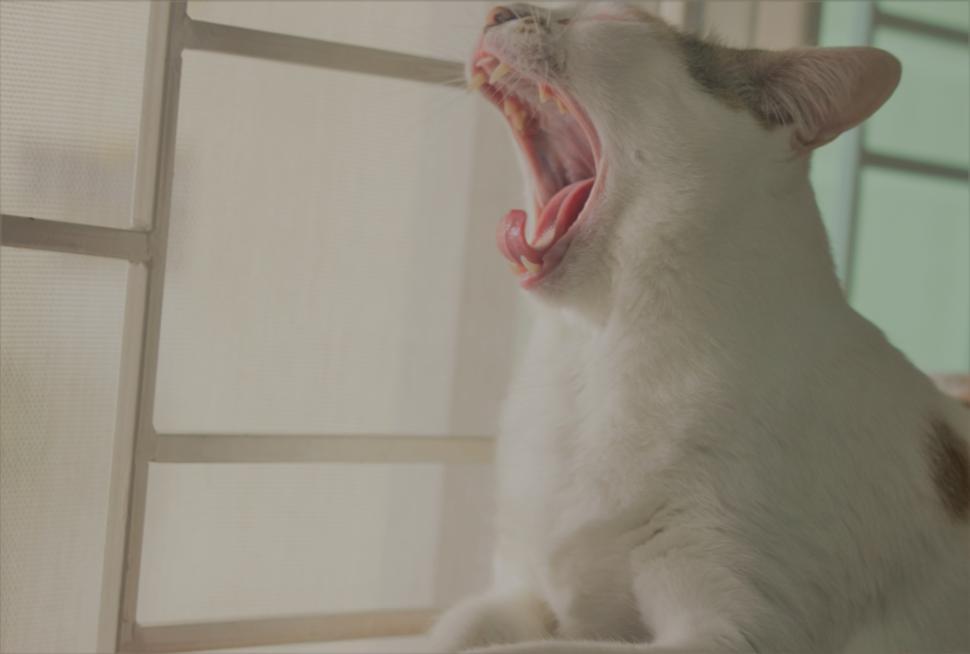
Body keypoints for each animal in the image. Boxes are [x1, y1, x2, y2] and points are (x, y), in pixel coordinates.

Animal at [432, 3, 968, 654]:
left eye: (608, 15)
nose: (497, 10)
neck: (597, 355)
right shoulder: (520, 592)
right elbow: (454, 630)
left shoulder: (729, 631)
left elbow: (540, 649)